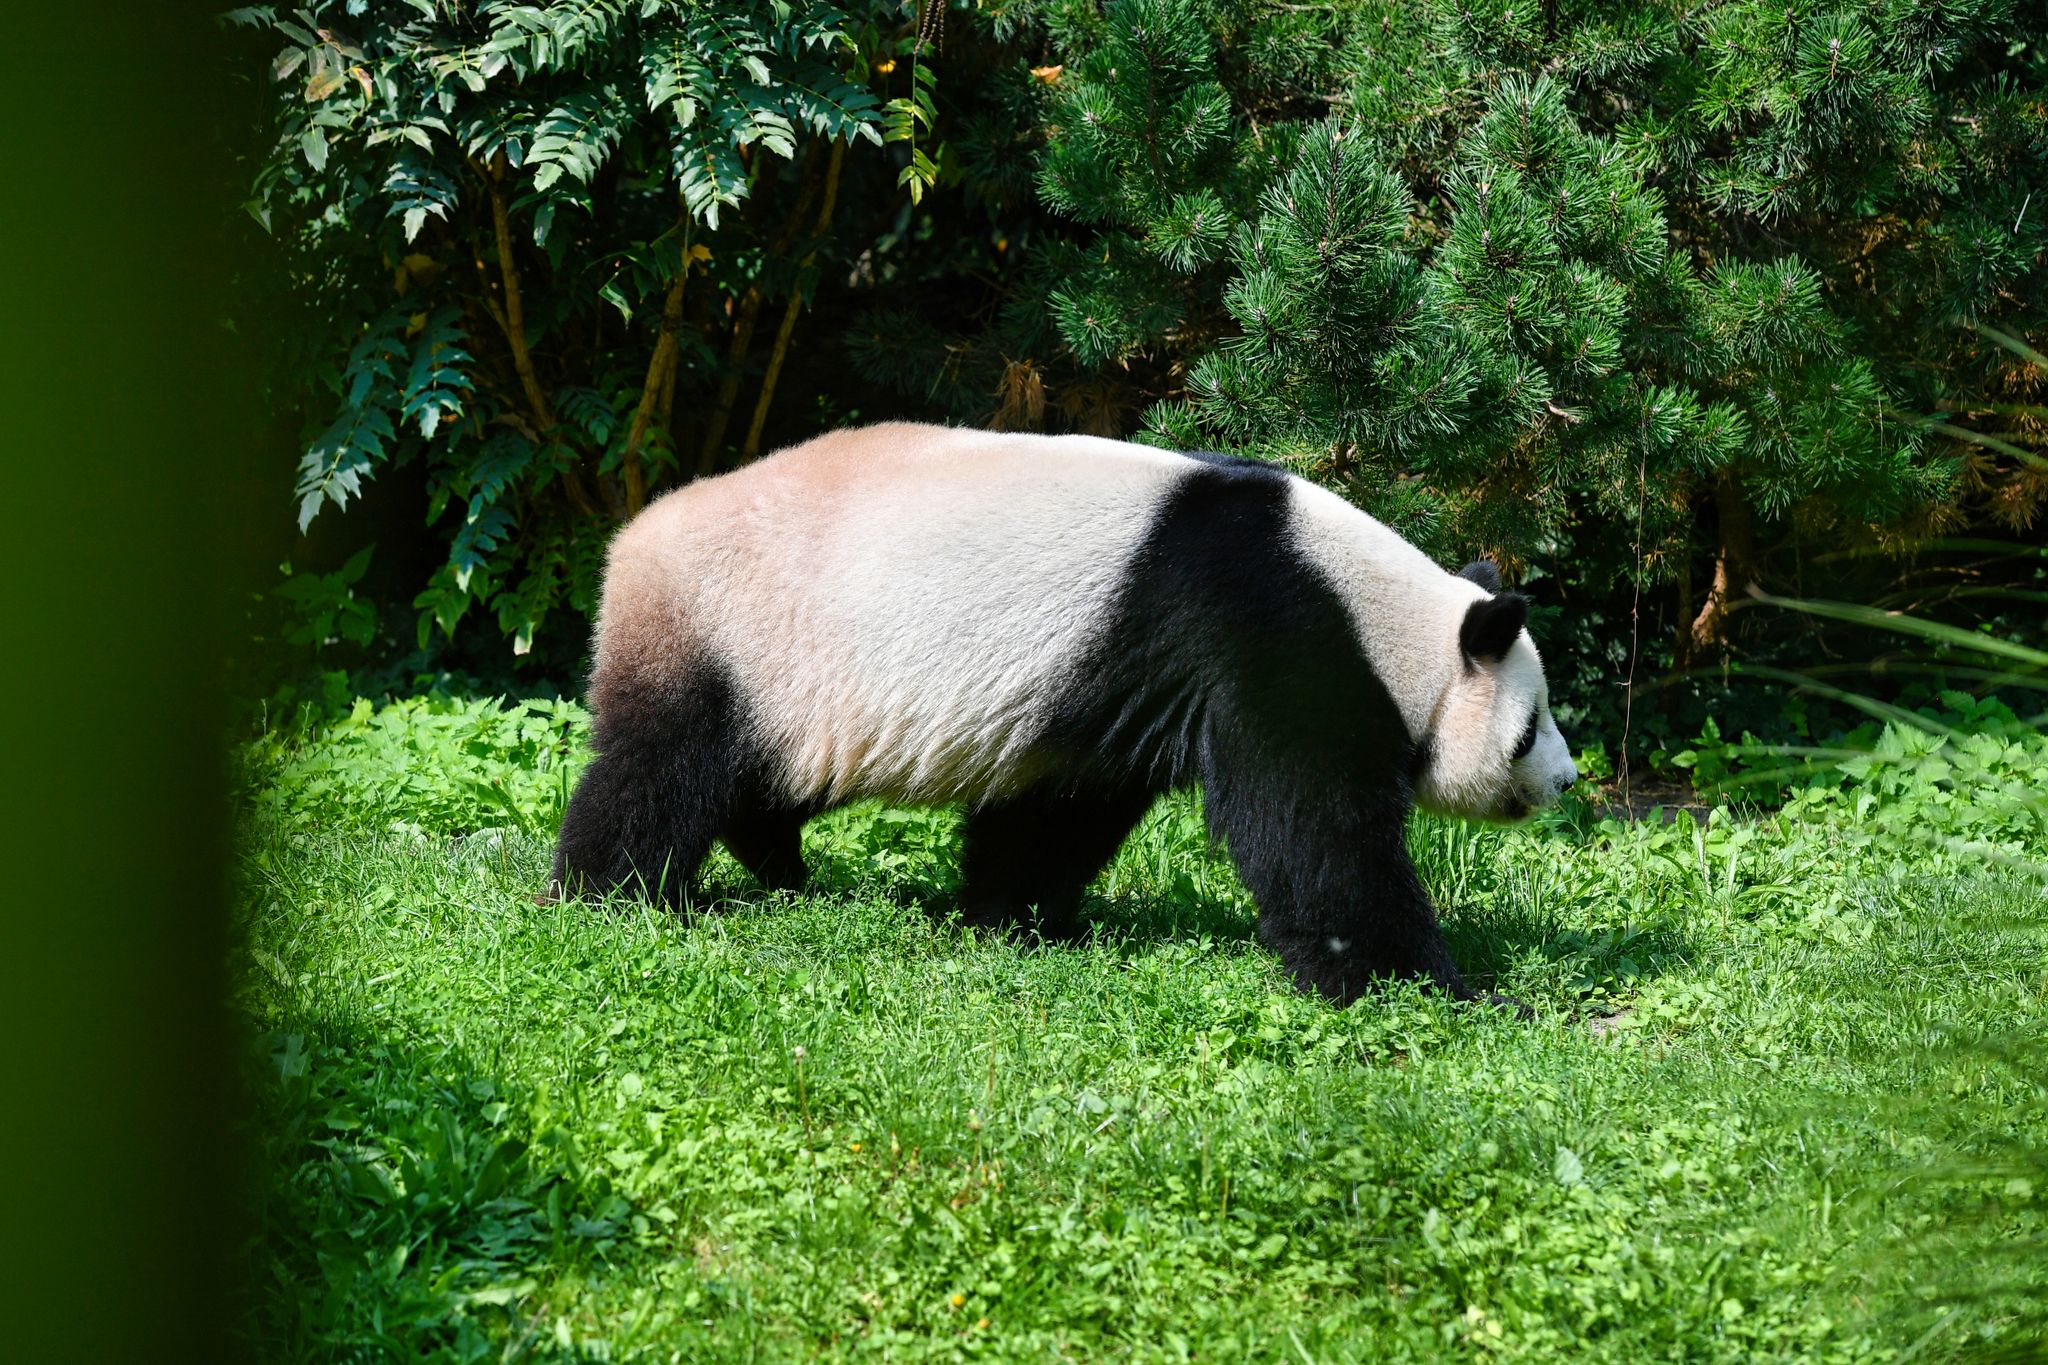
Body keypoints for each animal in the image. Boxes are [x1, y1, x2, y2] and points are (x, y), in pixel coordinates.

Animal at [551, 422, 1578, 1006]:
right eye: (1530, 726)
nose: (1567, 780)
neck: (1386, 616)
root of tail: (631, 539)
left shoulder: (1113, 683)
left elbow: (1063, 806)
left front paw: (1013, 917)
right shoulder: (1270, 632)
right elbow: (1314, 830)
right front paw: (1443, 989)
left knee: (765, 777)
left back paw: (778, 863)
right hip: (736, 629)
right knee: (662, 768)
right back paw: (609, 895)